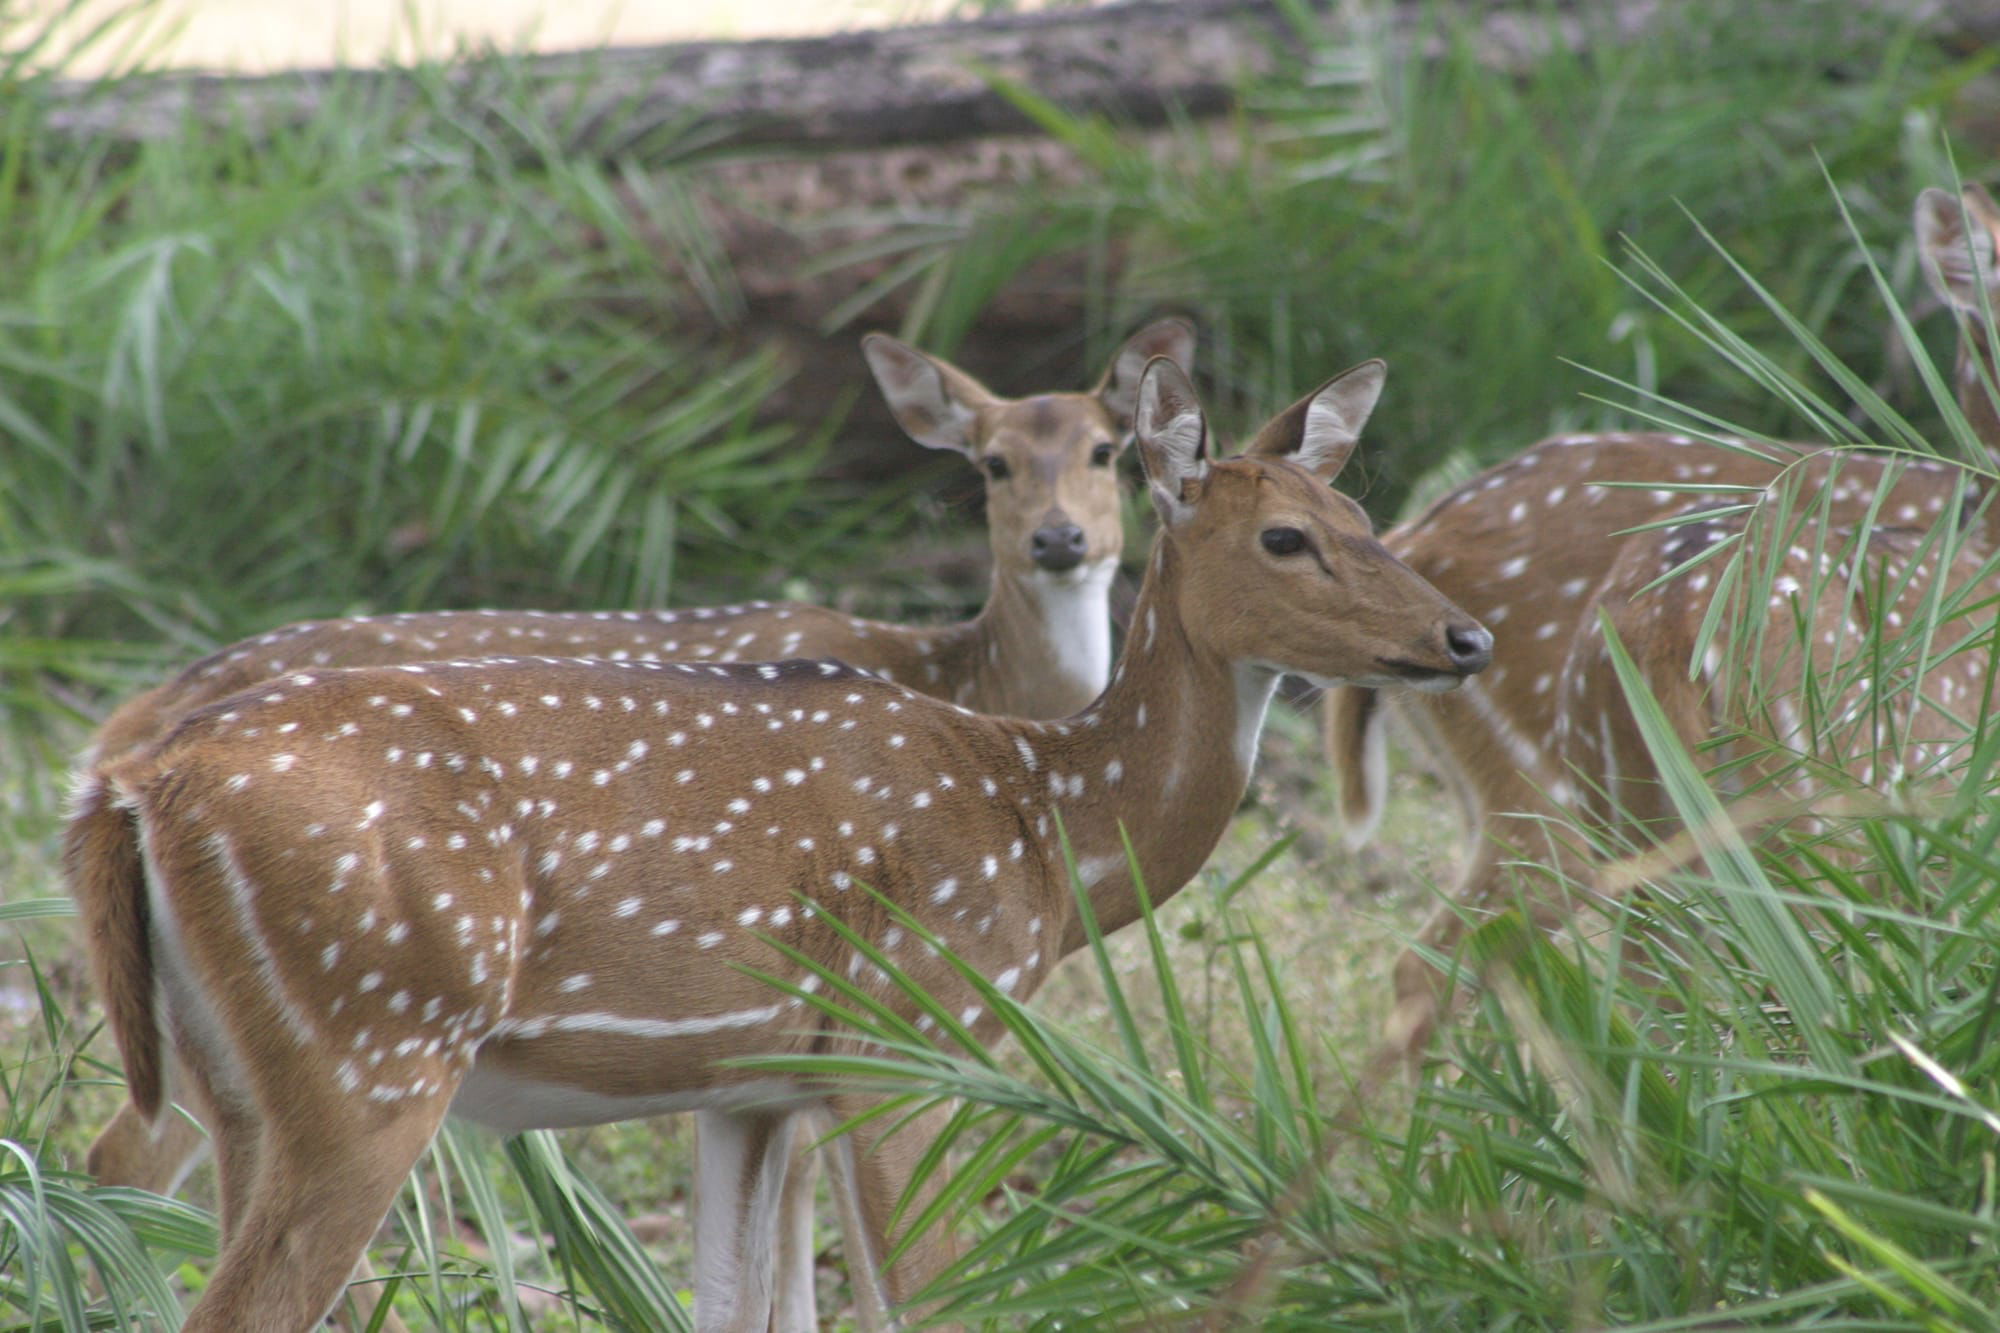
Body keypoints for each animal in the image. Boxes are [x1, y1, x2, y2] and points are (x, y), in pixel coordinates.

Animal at [66, 356, 1488, 1328]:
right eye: (1285, 538)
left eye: (1366, 519)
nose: (1464, 636)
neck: (1041, 819)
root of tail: (134, 780)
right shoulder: (910, 1036)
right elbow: (925, 1302)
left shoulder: (749, 1083)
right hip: (374, 1041)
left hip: (231, 1072)